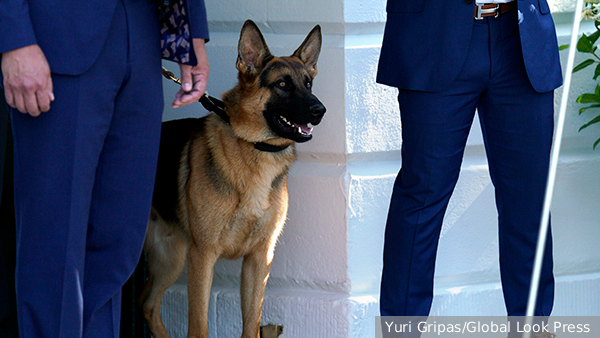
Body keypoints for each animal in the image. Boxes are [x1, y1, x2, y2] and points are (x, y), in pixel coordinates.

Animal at [141, 20, 326, 338]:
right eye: (282, 85)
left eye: (308, 84)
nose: (320, 111)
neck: (255, 149)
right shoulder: (202, 256)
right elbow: (198, 327)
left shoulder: (259, 259)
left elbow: (251, 324)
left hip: (171, 259)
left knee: (149, 305)